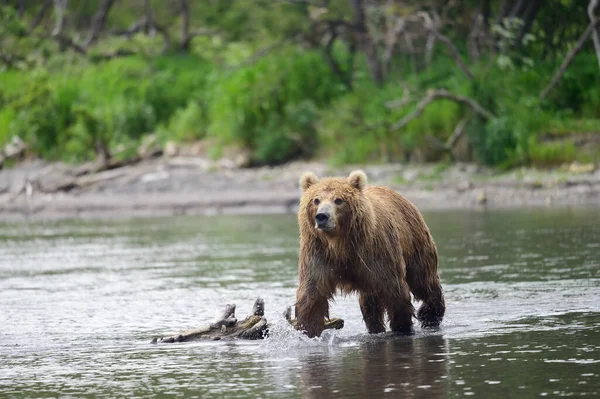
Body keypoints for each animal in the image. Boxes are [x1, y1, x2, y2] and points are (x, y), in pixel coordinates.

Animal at [296, 170, 446, 340]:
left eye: (338, 200)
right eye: (316, 200)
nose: (322, 216)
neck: (340, 244)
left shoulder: (377, 253)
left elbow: (394, 291)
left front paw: (402, 327)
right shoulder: (319, 253)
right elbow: (312, 294)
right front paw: (308, 332)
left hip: (414, 241)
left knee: (424, 280)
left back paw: (430, 315)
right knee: (370, 303)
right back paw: (375, 327)